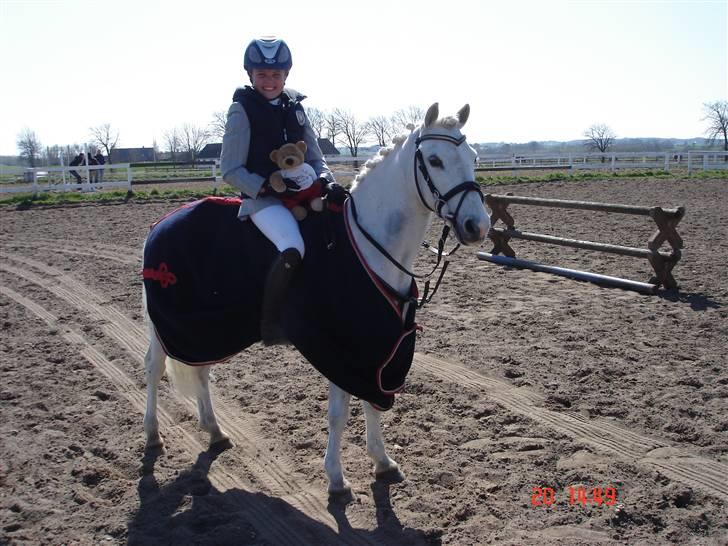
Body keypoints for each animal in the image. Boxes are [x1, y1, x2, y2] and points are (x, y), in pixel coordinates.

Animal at [142, 103, 490, 498]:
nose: (478, 225)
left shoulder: (377, 346)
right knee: (154, 367)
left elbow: (372, 401)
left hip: (207, 329)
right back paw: (153, 435)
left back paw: (215, 432)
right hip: (170, 325)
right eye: (434, 160)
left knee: (200, 371)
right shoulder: (340, 347)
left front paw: (383, 462)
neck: (369, 244)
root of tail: (162, 223)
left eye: (473, 157)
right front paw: (336, 479)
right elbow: (339, 413)